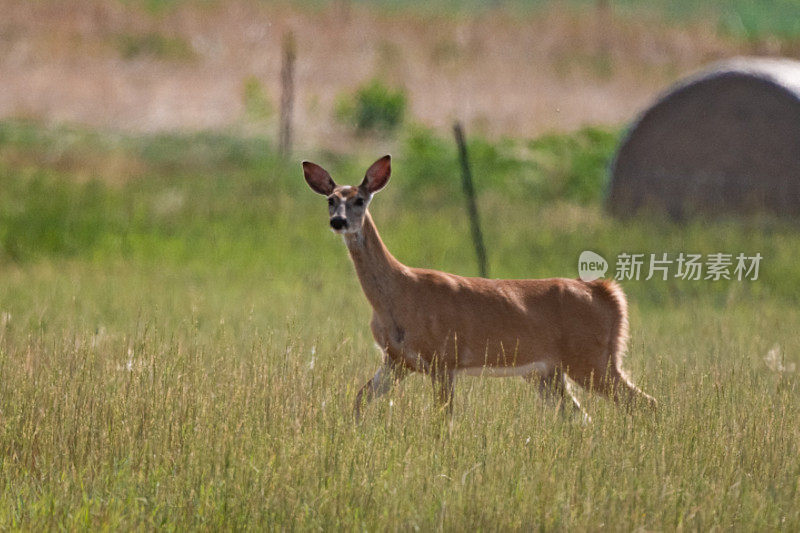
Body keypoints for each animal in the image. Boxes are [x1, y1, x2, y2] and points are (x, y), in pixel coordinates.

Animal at [300, 155, 656, 424]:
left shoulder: (444, 357)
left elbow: (443, 420)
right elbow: (359, 399)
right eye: (331, 200)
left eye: (359, 200)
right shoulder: (397, 360)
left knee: (644, 403)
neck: (398, 295)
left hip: (592, 358)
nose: (338, 222)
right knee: (582, 417)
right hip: (548, 372)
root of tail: (607, 292)